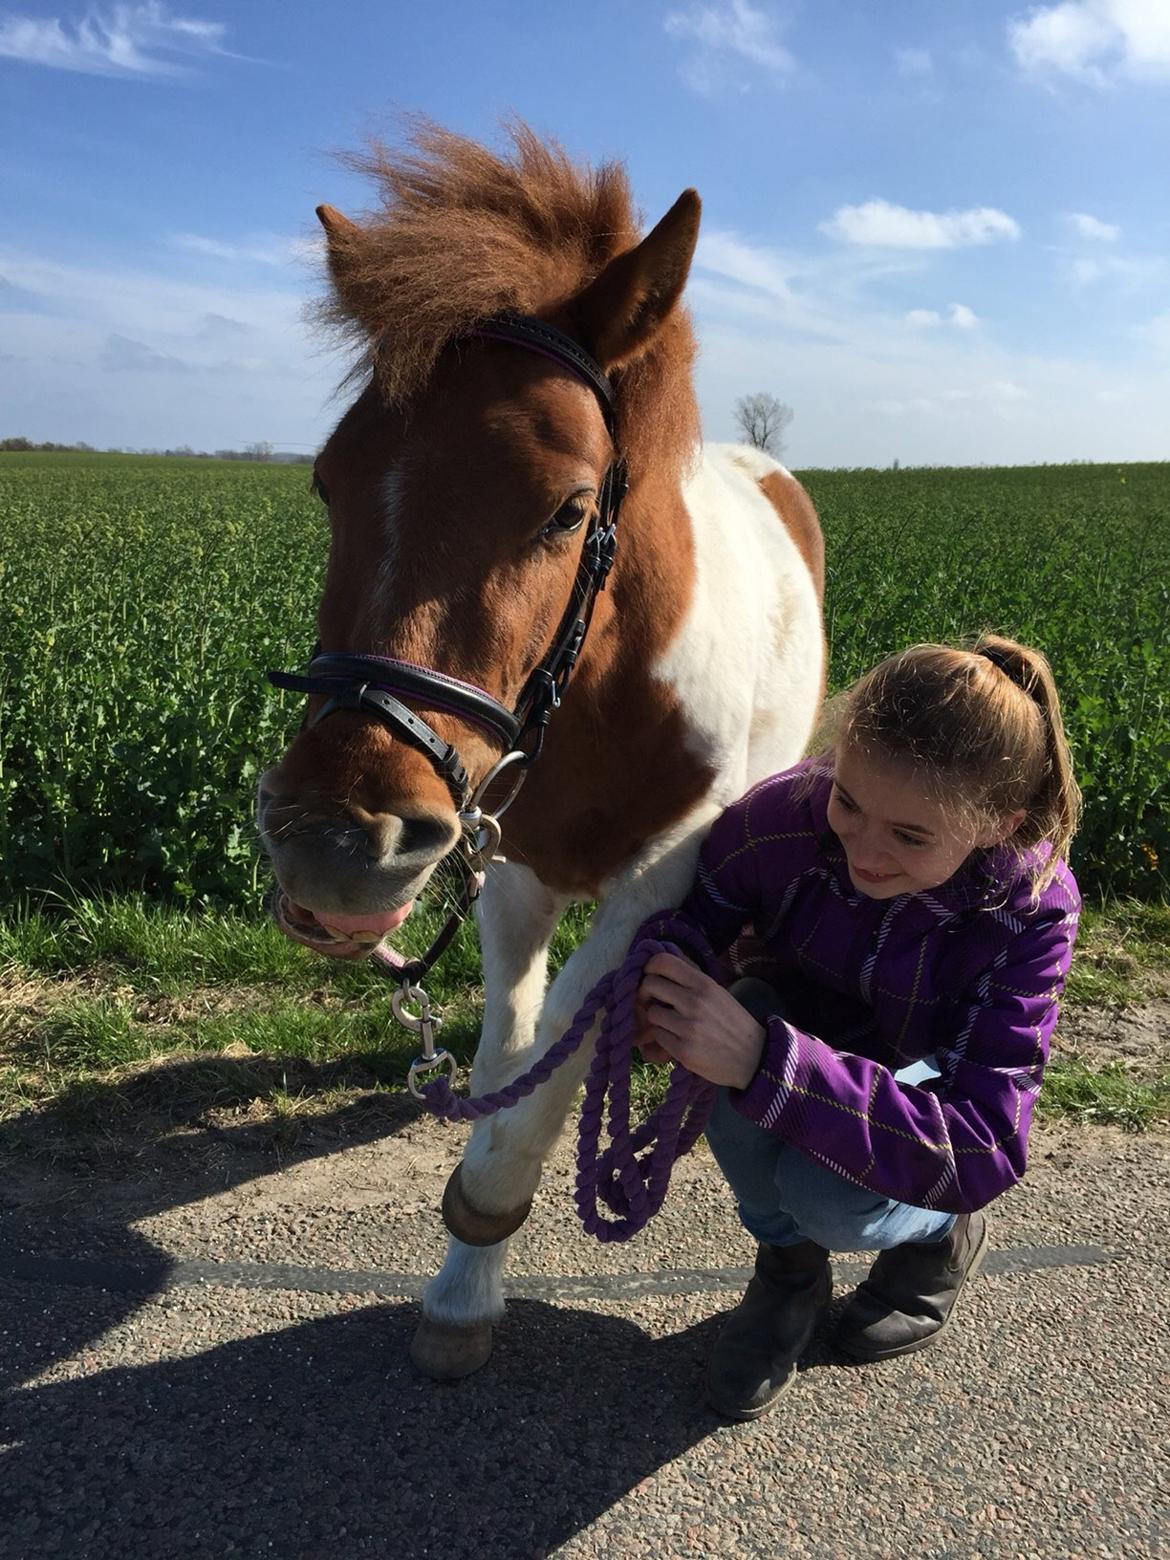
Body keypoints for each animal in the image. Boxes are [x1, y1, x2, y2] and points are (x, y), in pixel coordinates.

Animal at [258, 127, 823, 1385]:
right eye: (326, 481)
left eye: (569, 509)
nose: (336, 843)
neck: (601, 698)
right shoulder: (506, 860)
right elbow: (509, 1044)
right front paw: (464, 1280)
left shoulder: (664, 873)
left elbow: (562, 1053)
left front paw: (479, 1228)